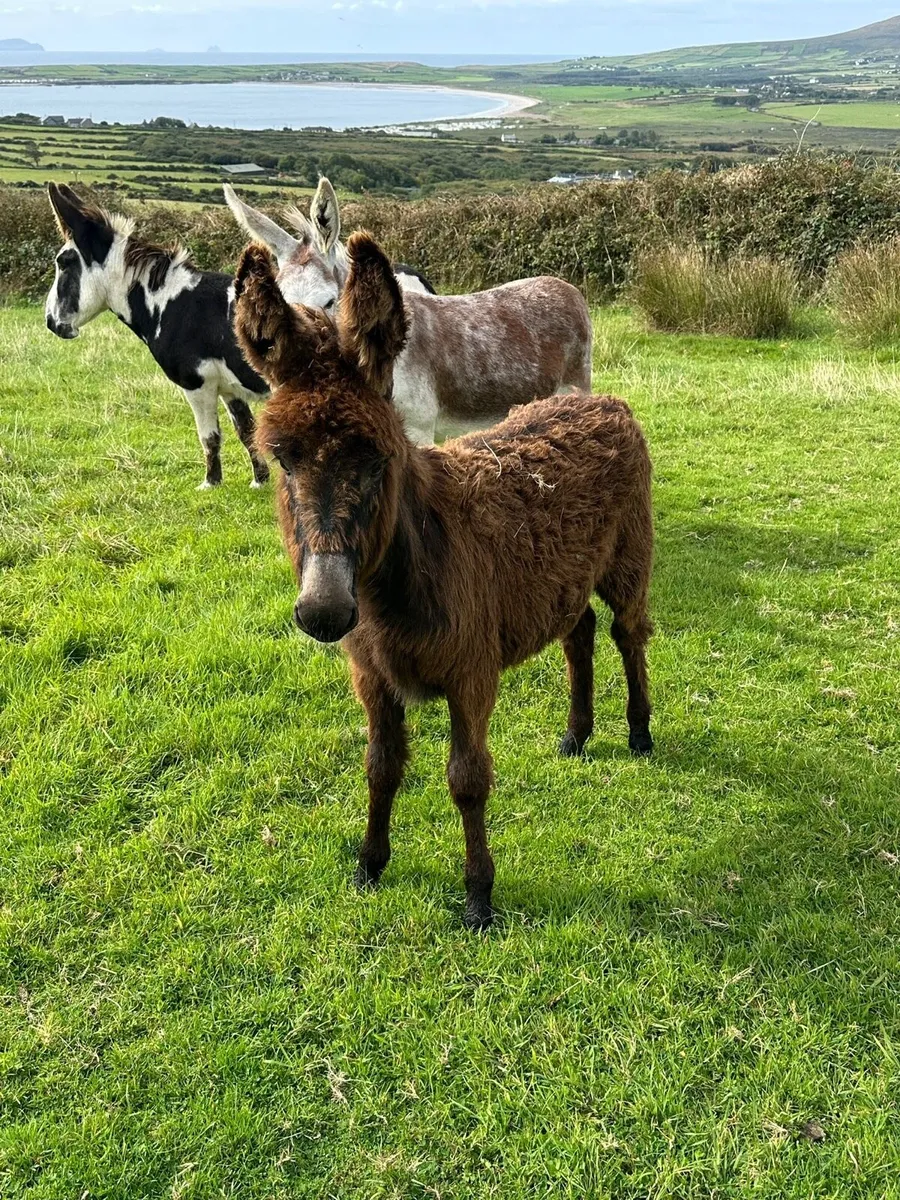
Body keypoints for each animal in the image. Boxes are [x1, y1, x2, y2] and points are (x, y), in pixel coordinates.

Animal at [44, 182, 269, 489]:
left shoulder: (197, 384)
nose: (50, 322)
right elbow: (247, 433)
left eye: (63, 263)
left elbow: (209, 437)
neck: (171, 303)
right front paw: (259, 480)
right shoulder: (230, 387)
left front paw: (210, 483)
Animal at [233, 234, 654, 931]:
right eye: (281, 459)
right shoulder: (372, 677)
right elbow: (380, 768)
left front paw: (479, 897)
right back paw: (576, 733)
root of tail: (602, 401)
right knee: (579, 632)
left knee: (629, 631)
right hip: (564, 576)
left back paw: (640, 733)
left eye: (379, 456)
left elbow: (468, 779)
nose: (323, 612)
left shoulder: (471, 672)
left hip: (629, 556)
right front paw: (370, 865)